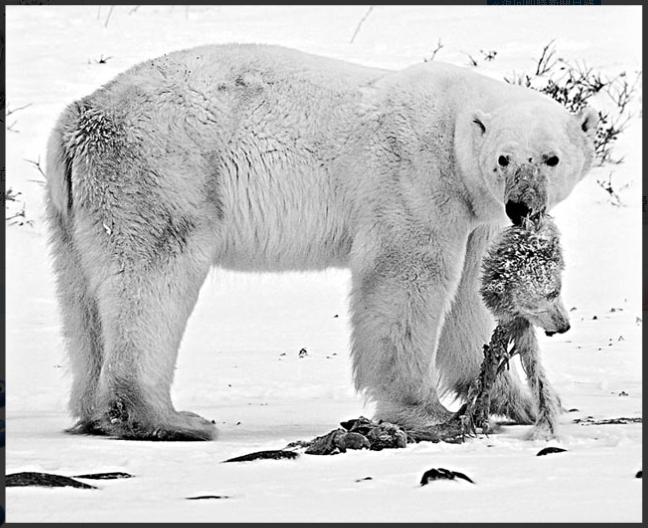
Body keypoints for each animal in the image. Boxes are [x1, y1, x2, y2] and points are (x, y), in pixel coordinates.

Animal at [43, 44, 596, 442]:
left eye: (550, 158)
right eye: (505, 157)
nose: (522, 207)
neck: (455, 123)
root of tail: (81, 115)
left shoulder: (475, 214)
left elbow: (469, 301)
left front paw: (518, 402)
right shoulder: (415, 179)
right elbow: (405, 279)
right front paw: (429, 414)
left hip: (75, 209)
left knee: (82, 298)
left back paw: (95, 412)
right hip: (160, 174)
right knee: (152, 282)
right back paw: (170, 419)